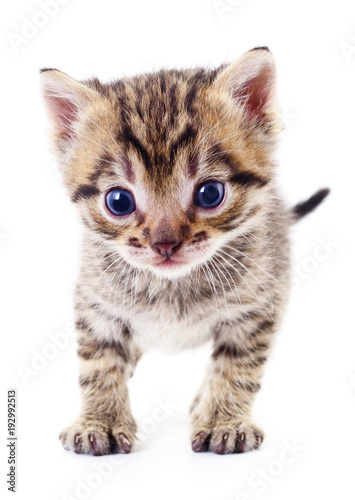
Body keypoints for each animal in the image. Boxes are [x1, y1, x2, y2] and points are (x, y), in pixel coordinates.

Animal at [41, 48, 330, 456]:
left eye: (210, 193)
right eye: (118, 201)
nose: (164, 244)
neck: (171, 285)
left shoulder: (258, 308)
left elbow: (238, 367)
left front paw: (224, 421)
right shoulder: (96, 306)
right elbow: (98, 364)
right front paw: (100, 421)